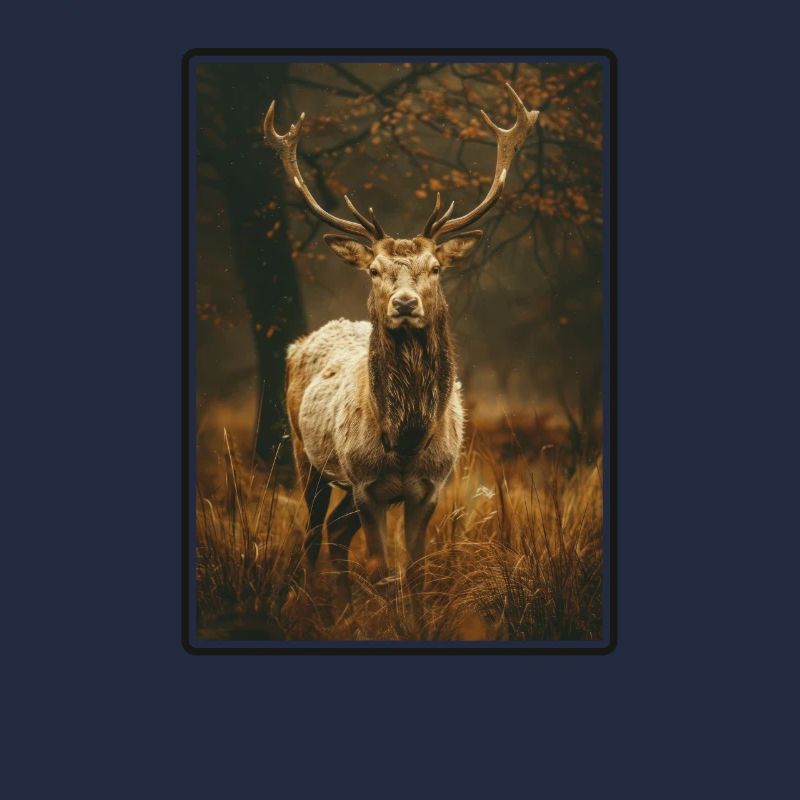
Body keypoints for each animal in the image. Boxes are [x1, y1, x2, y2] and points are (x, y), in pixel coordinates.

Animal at [263, 83, 539, 610]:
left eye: (436, 267)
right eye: (374, 270)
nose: (405, 303)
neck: (406, 437)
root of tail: (296, 345)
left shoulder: (429, 488)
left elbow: (414, 570)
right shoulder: (366, 485)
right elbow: (382, 569)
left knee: (335, 531)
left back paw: (343, 607)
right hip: (305, 456)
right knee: (312, 533)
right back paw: (317, 603)